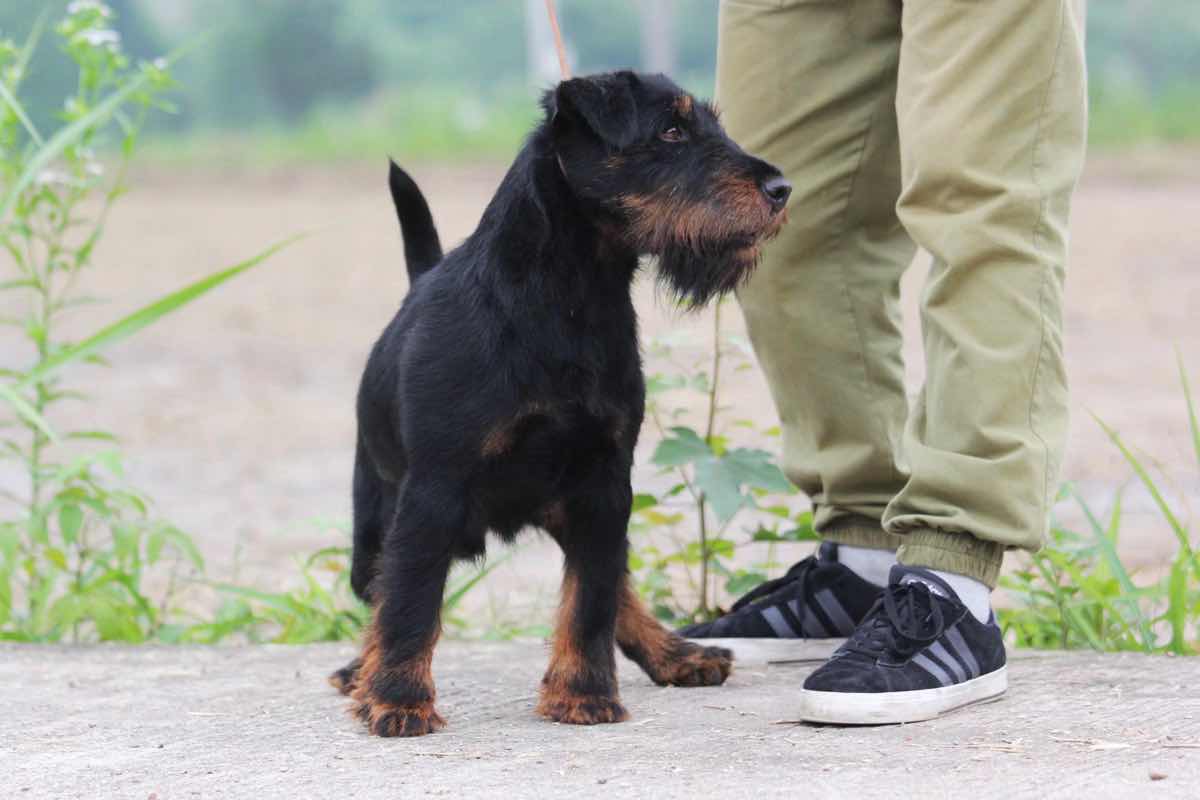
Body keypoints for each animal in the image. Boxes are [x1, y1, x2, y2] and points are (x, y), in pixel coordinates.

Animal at [333, 71, 792, 734]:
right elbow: (411, 601)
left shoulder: (603, 485)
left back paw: (676, 653)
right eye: (671, 130)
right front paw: (398, 698)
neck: (568, 298)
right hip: (373, 522)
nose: (781, 189)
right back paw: (362, 672)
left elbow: (592, 601)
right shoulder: (432, 493)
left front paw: (583, 694)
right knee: (380, 592)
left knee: (616, 587)